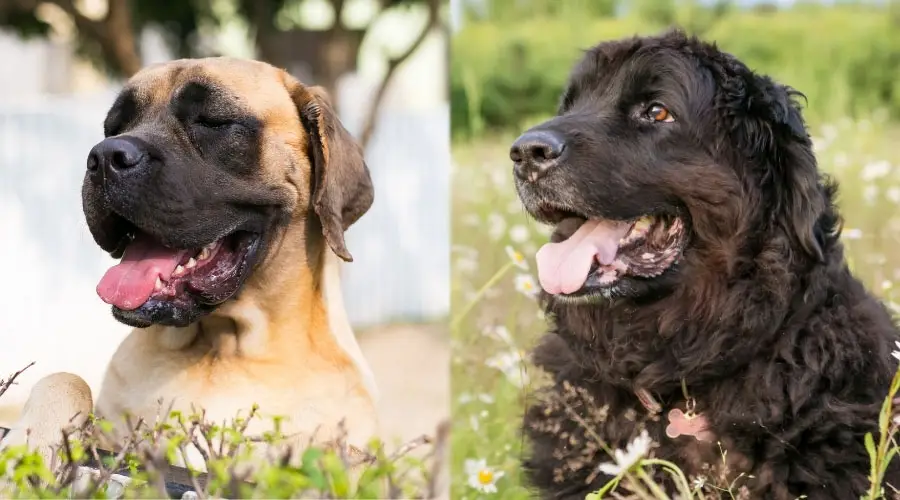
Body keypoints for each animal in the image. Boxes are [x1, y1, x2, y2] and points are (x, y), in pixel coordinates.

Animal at [0, 56, 380, 466]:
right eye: (114, 127)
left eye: (212, 121)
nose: (104, 156)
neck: (222, 347)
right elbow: (66, 378)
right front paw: (32, 443)